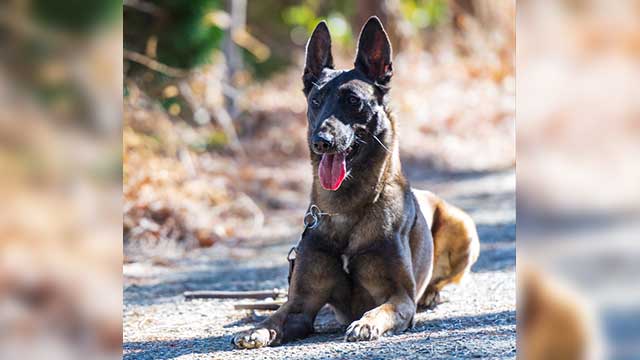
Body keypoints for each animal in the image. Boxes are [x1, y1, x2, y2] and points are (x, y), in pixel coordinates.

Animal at [232, 16, 478, 348]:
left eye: (353, 101)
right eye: (316, 101)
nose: (321, 141)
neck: (346, 209)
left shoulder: (400, 297)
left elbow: (382, 309)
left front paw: (365, 323)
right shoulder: (300, 305)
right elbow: (277, 316)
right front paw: (255, 330)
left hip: (462, 227)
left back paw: (431, 294)